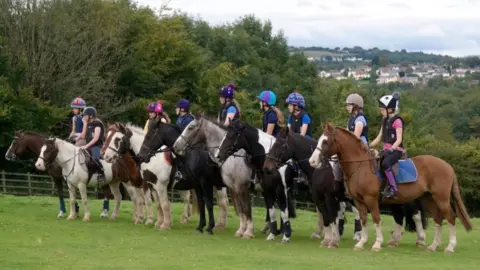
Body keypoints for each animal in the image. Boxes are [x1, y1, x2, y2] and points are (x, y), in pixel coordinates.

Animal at [266, 127, 428, 248]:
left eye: (280, 144)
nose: (268, 166)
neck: (320, 169)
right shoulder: (320, 198)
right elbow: (327, 218)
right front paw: (329, 239)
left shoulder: (329, 197)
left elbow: (331, 217)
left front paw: (332, 240)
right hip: (393, 201)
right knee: (399, 217)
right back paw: (394, 240)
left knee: (416, 214)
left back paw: (420, 239)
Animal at [308, 123, 472, 253]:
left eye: (325, 141)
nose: (312, 161)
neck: (360, 166)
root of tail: (447, 166)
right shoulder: (358, 201)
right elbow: (363, 219)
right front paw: (361, 243)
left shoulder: (369, 199)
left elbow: (375, 219)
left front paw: (376, 244)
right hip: (428, 199)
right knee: (437, 219)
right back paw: (432, 245)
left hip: (441, 199)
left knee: (449, 218)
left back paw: (449, 246)